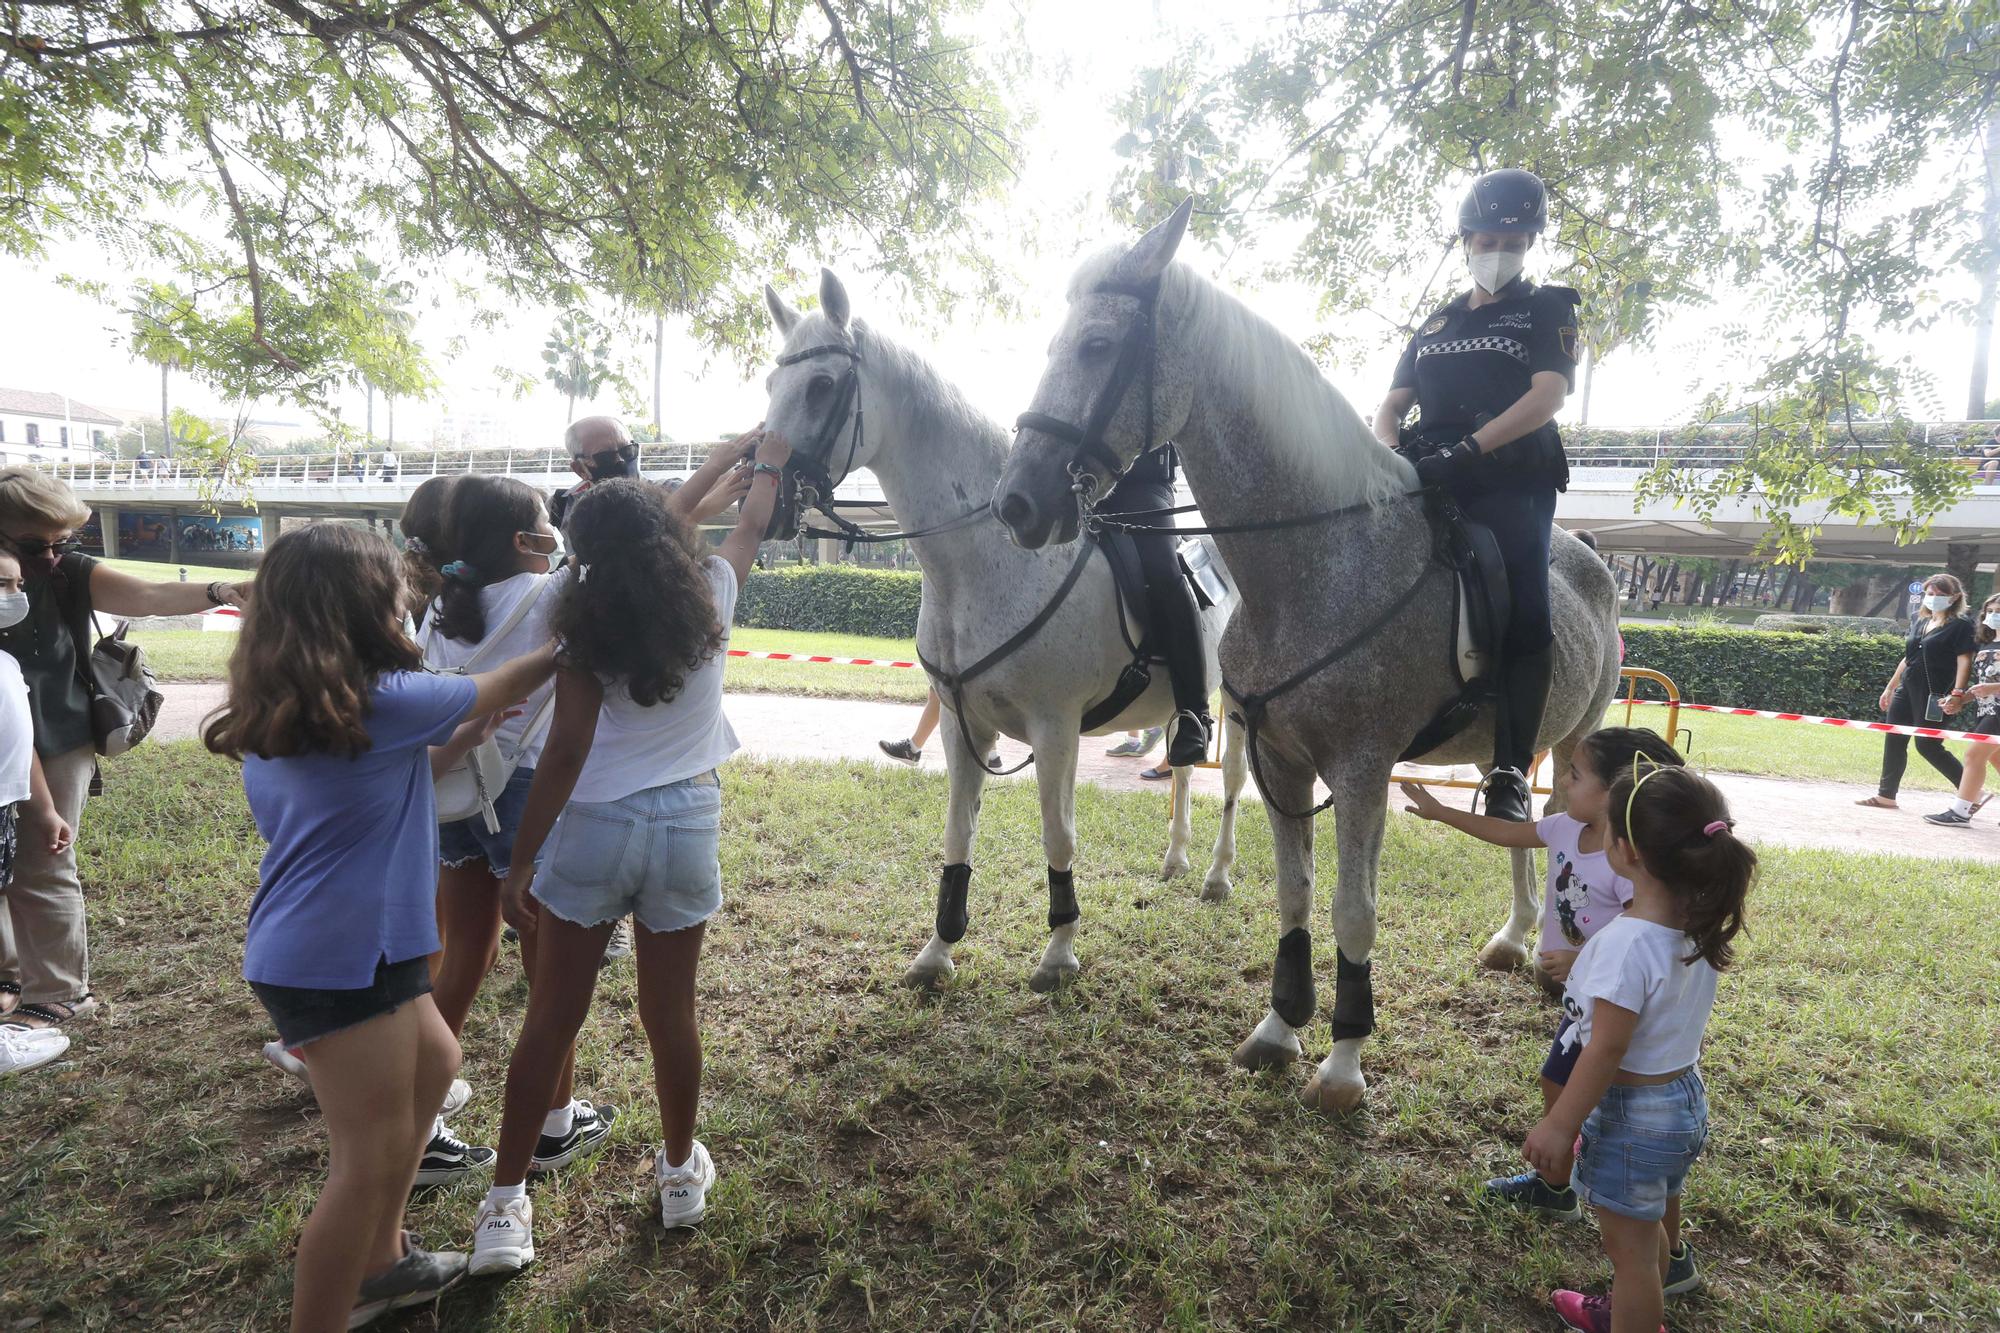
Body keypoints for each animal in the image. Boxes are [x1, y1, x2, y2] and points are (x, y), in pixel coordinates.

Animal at [760, 270, 1248, 992]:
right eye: (772, 383)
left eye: (821, 385)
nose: (761, 497)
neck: (989, 560)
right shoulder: (965, 726)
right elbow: (957, 835)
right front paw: (937, 951)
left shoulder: (1055, 728)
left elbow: (1059, 834)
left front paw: (1060, 951)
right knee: (1186, 769)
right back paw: (1176, 859)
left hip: (1241, 702)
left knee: (1234, 780)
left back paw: (1215, 874)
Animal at [992, 202, 1616, 1104]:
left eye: (1099, 346)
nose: (1017, 502)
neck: (1320, 561)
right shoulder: (1283, 762)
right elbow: (1294, 894)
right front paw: (1280, 1027)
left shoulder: (1359, 768)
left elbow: (1354, 908)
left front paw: (1344, 1061)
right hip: (1512, 743)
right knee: (1521, 819)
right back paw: (1514, 937)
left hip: (1575, 740)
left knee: (1555, 815)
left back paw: (1549, 952)